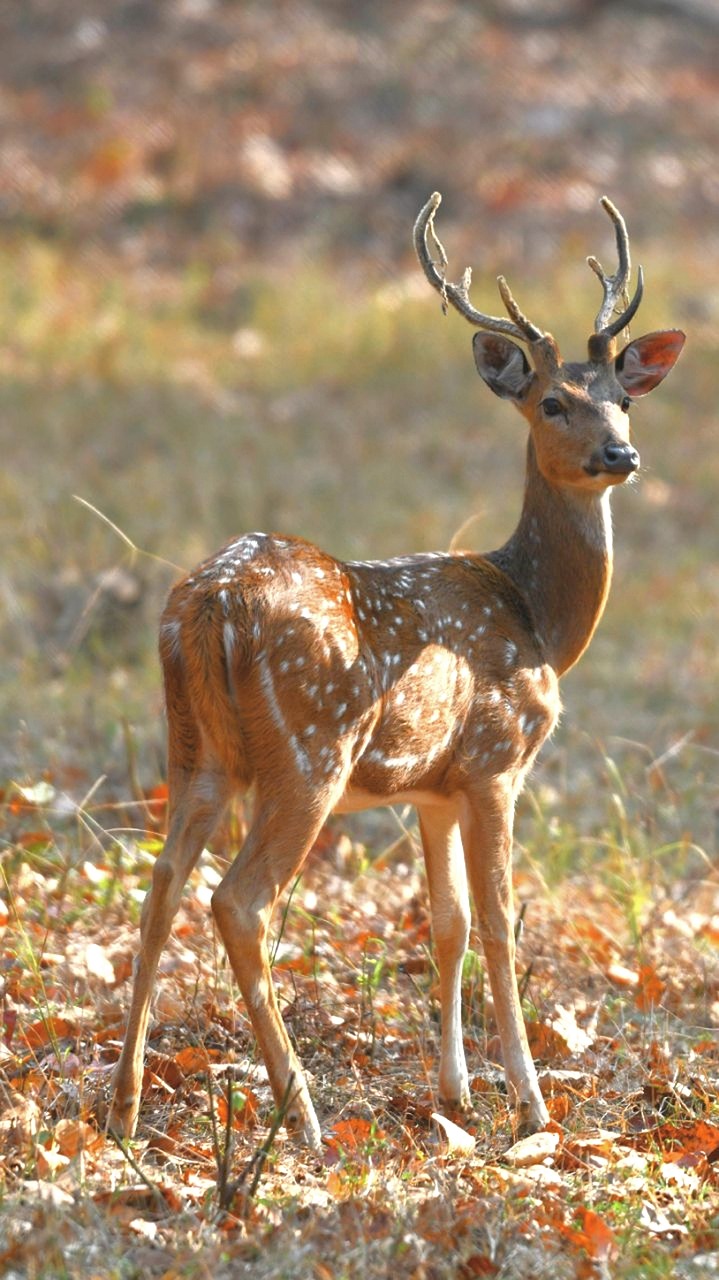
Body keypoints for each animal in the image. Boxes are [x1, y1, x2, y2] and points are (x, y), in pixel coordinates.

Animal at [110, 194, 680, 1146]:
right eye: (552, 402)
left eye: (621, 402)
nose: (621, 457)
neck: (538, 616)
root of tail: (210, 607)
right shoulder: (494, 762)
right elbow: (498, 924)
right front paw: (529, 1105)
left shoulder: (433, 788)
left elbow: (445, 924)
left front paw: (454, 1095)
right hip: (309, 748)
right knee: (239, 901)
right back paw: (299, 1113)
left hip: (194, 747)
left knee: (159, 886)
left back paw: (122, 1108)